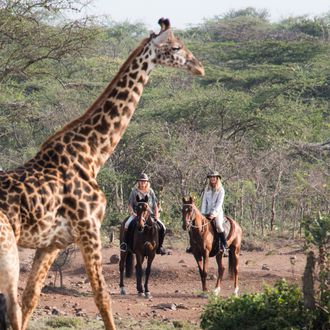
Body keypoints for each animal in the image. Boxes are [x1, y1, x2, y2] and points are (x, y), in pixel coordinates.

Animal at [0, 18, 204, 330]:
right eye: (176, 47)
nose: (200, 67)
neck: (92, 154)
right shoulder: (89, 228)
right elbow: (102, 297)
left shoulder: (52, 243)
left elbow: (30, 298)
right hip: (7, 249)